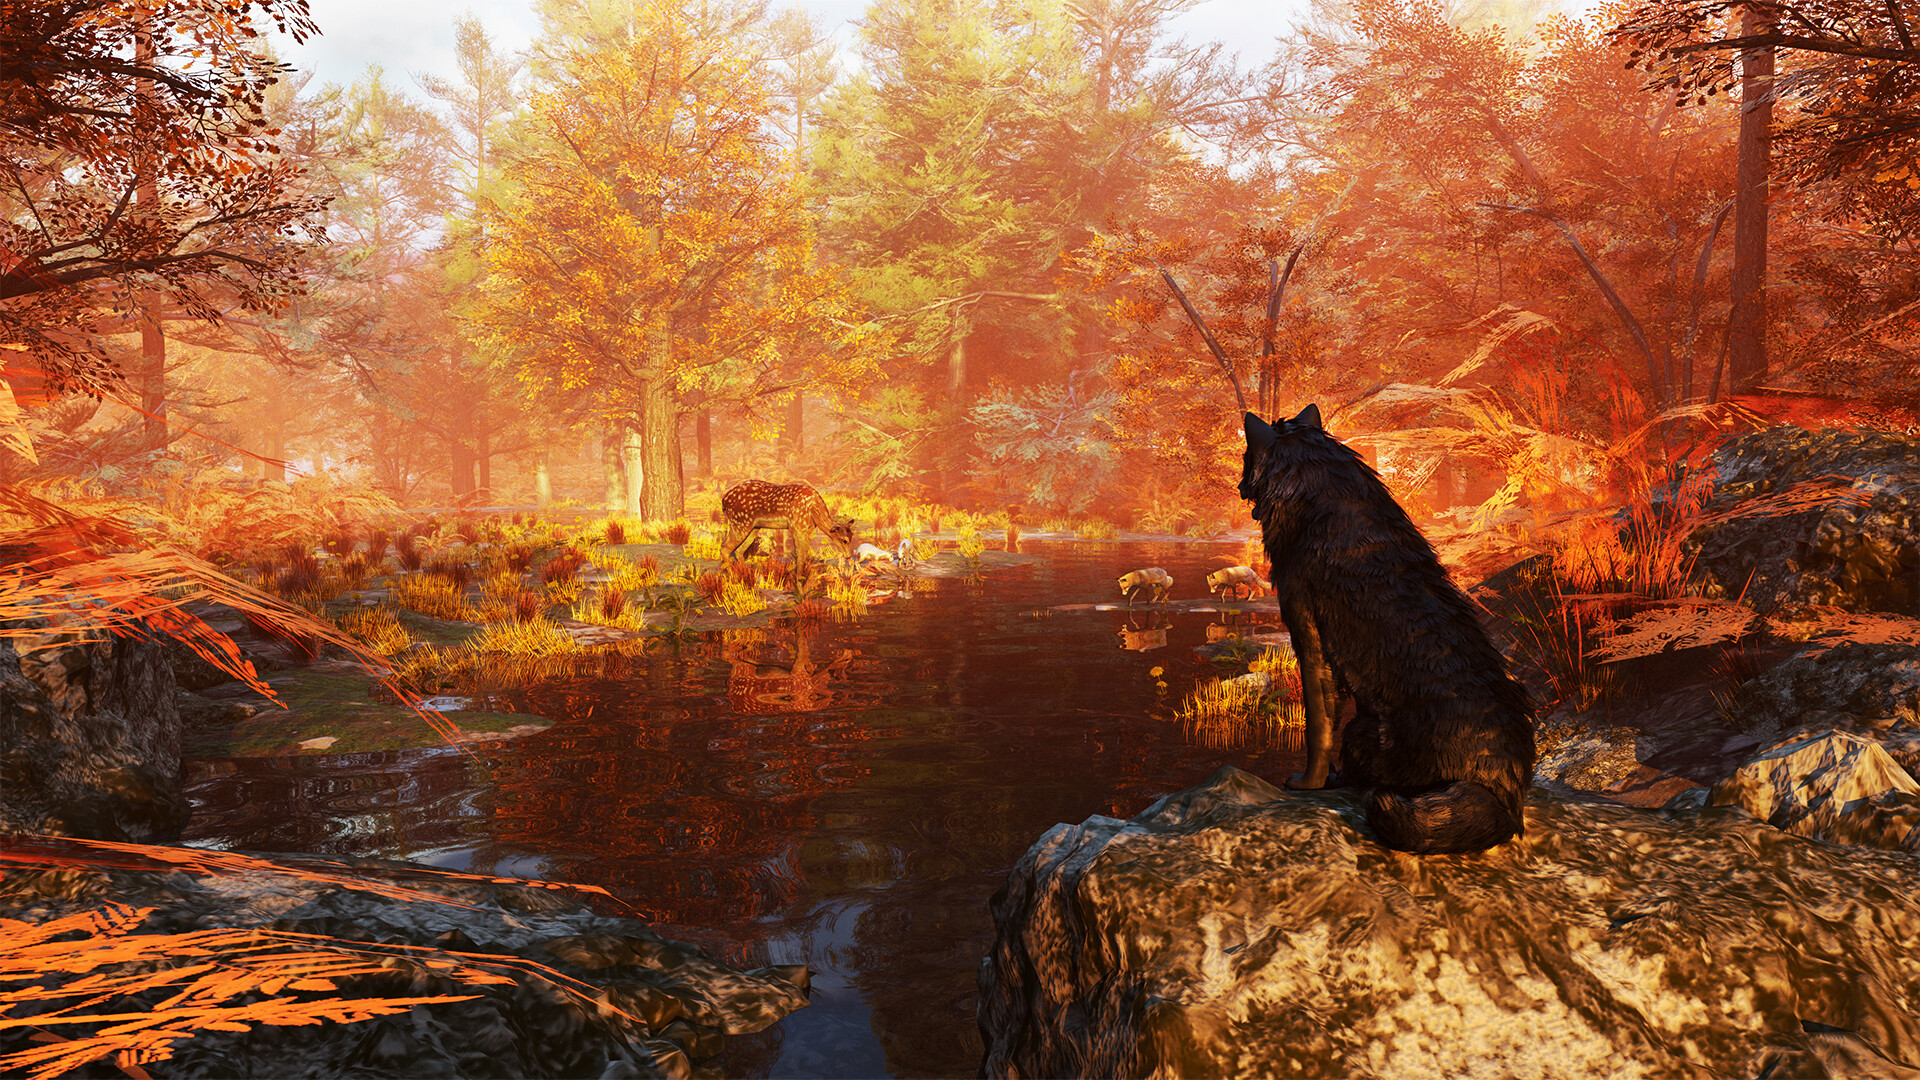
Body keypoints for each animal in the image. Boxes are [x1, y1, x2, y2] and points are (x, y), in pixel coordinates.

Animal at [1241, 405, 1534, 854]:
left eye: (1246, 458)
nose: (1239, 486)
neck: (1321, 492)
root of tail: (1505, 793)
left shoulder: (1307, 630)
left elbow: (1317, 728)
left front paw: (1307, 784)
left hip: (1361, 732)